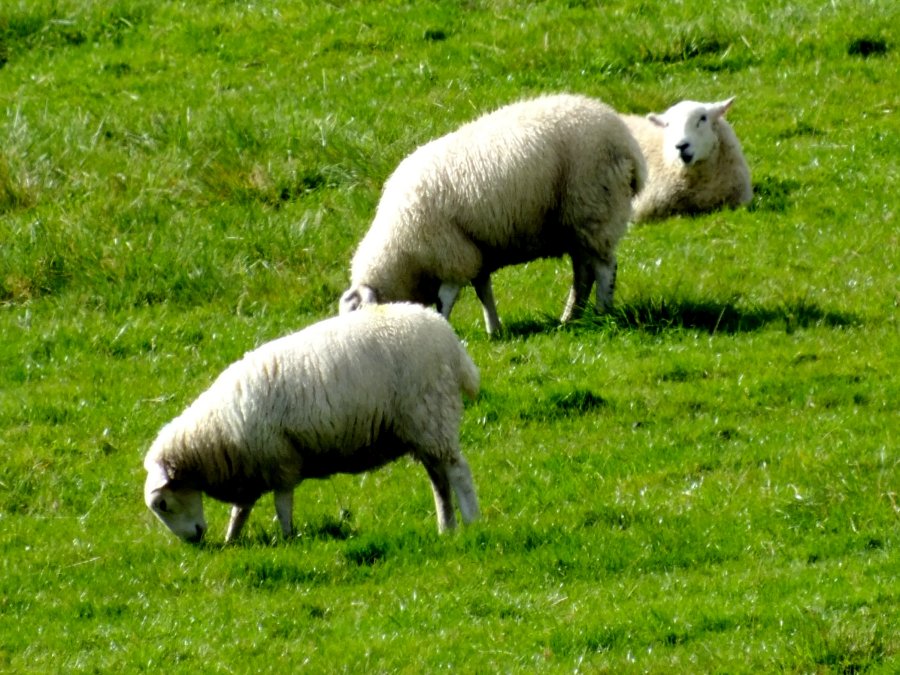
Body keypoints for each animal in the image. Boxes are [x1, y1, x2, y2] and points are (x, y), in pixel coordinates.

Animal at [142, 304, 478, 544]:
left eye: (162, 504)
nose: (194, 541)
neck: (213, 432)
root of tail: (449, 338)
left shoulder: (278, 462)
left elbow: (282, 505)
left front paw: (288, 539)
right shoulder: (250, 471)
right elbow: (240, 511)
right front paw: (231, 540)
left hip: (432, 415)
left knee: (458, 472)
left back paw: (473, 522)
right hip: (422, 429)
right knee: (439, 481)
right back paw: (446, 527)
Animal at [340, 93, 648, 336]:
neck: (399, 249)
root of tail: (627, 142)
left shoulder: (452, 255)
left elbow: (446, 299)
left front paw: (445, 325)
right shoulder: (475, 253)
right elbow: (483, 292)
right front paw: (495, 330)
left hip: (594, 206)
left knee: (605, 268)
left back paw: (603, 312)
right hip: (575, 223)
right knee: (583, 272)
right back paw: (570, 317)